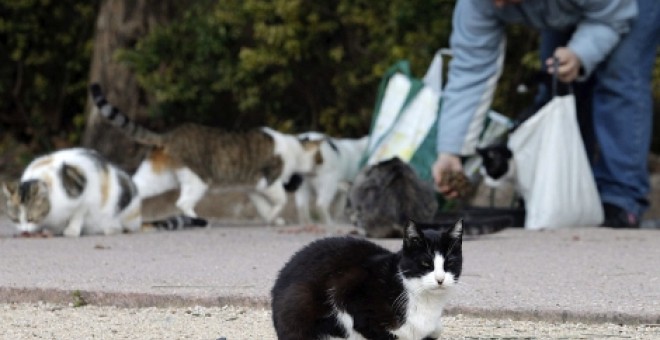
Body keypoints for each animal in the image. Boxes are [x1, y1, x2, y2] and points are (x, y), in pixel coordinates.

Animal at [1, 147, 206, 238]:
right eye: (15, 219)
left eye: (31, 218)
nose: (24, 230)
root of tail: (138, 219)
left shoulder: (86, 196)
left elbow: (78, 214)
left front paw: (71, 230)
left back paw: (111, 229)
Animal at [89, 83, 322, 224]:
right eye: (320, 158)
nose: (321, 167)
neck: (294, 147)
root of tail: (169, 136)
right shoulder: (269, 181)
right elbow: (280, 200)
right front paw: (275, 215)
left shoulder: (252, 188)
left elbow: (263, 206)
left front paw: (271, 219)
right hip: (198, 179)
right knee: (182, 203)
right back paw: (197, 220)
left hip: (159, 177)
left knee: (134, 187)